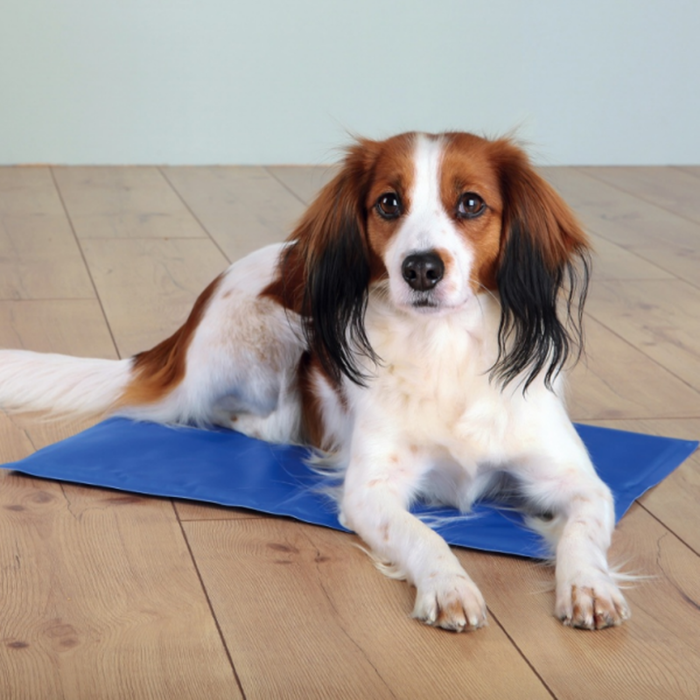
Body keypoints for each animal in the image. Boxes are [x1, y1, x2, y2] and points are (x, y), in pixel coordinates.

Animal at [0, 131, 628, 628]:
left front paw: (589, 586)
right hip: (275, 337)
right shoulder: (370, 491)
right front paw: (449, 586)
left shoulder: (580, 482)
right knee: (249, 419)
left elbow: (582, 530)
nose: (421, 268)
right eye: (388, 203)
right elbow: (424, 534)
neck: (443, 348)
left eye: (471, 203)